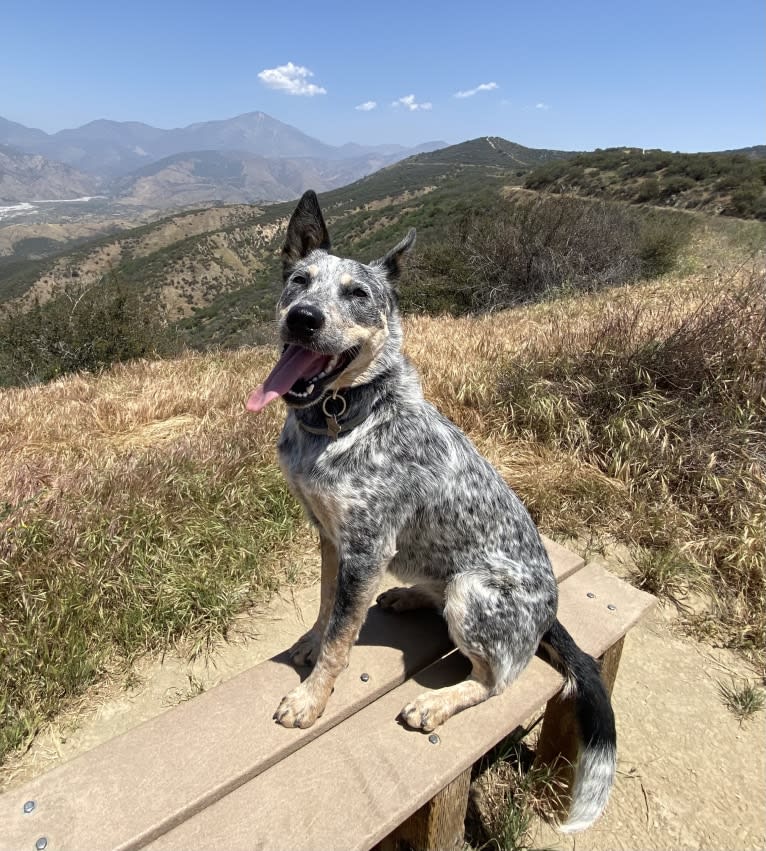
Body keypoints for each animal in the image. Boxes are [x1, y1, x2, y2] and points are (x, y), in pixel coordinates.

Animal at [249, 188, 620, 832]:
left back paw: (436, 702)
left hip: (475, 592)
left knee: (500, 680)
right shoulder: (330, 536)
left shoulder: (366, 546)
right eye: (299, 281)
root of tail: (550, 613)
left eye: (358, 294)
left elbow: (343, 637)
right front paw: (310, 643)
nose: (303, 319)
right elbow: (327, 609)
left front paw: (311, 698)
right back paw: (409, 597)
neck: (344, 417)